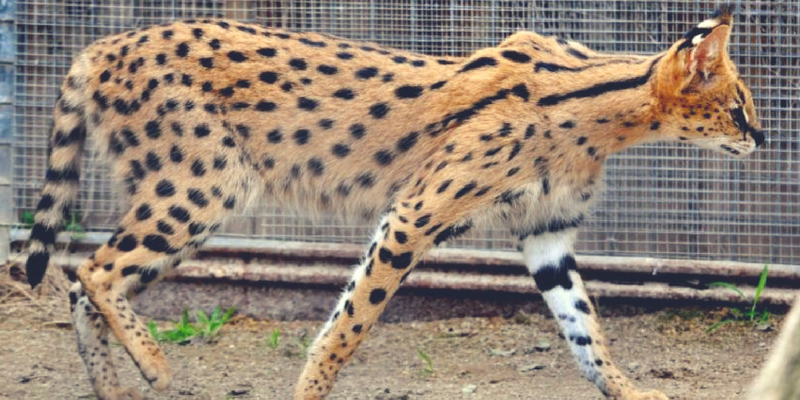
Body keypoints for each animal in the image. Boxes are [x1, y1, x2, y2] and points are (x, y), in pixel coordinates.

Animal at [25, 5, 764, 400]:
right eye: (737, 107)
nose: (762, 138)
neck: (601, 113)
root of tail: (100, 45)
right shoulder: (414, 216)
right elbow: (348, 325)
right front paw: (308, 391)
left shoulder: (546, 235)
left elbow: (587, 328)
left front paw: (628, 390)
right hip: (206, 185)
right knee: (92, 270)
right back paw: (152, 366)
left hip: (183, 194)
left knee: (79, 279)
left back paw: (115, 388)